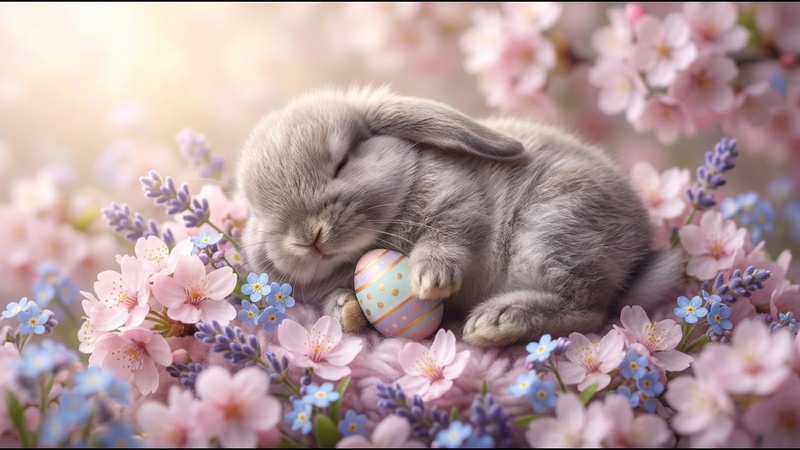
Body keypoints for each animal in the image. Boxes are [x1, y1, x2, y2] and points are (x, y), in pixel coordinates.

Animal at [233, 86, 681, 348]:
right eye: (256, 208)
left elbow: (449, 235)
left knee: (588, 310)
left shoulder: (457, 204)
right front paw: (347, 311)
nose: (307, 237)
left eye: (341, 163)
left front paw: (430, 280)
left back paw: (496, 323)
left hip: (551, 232)